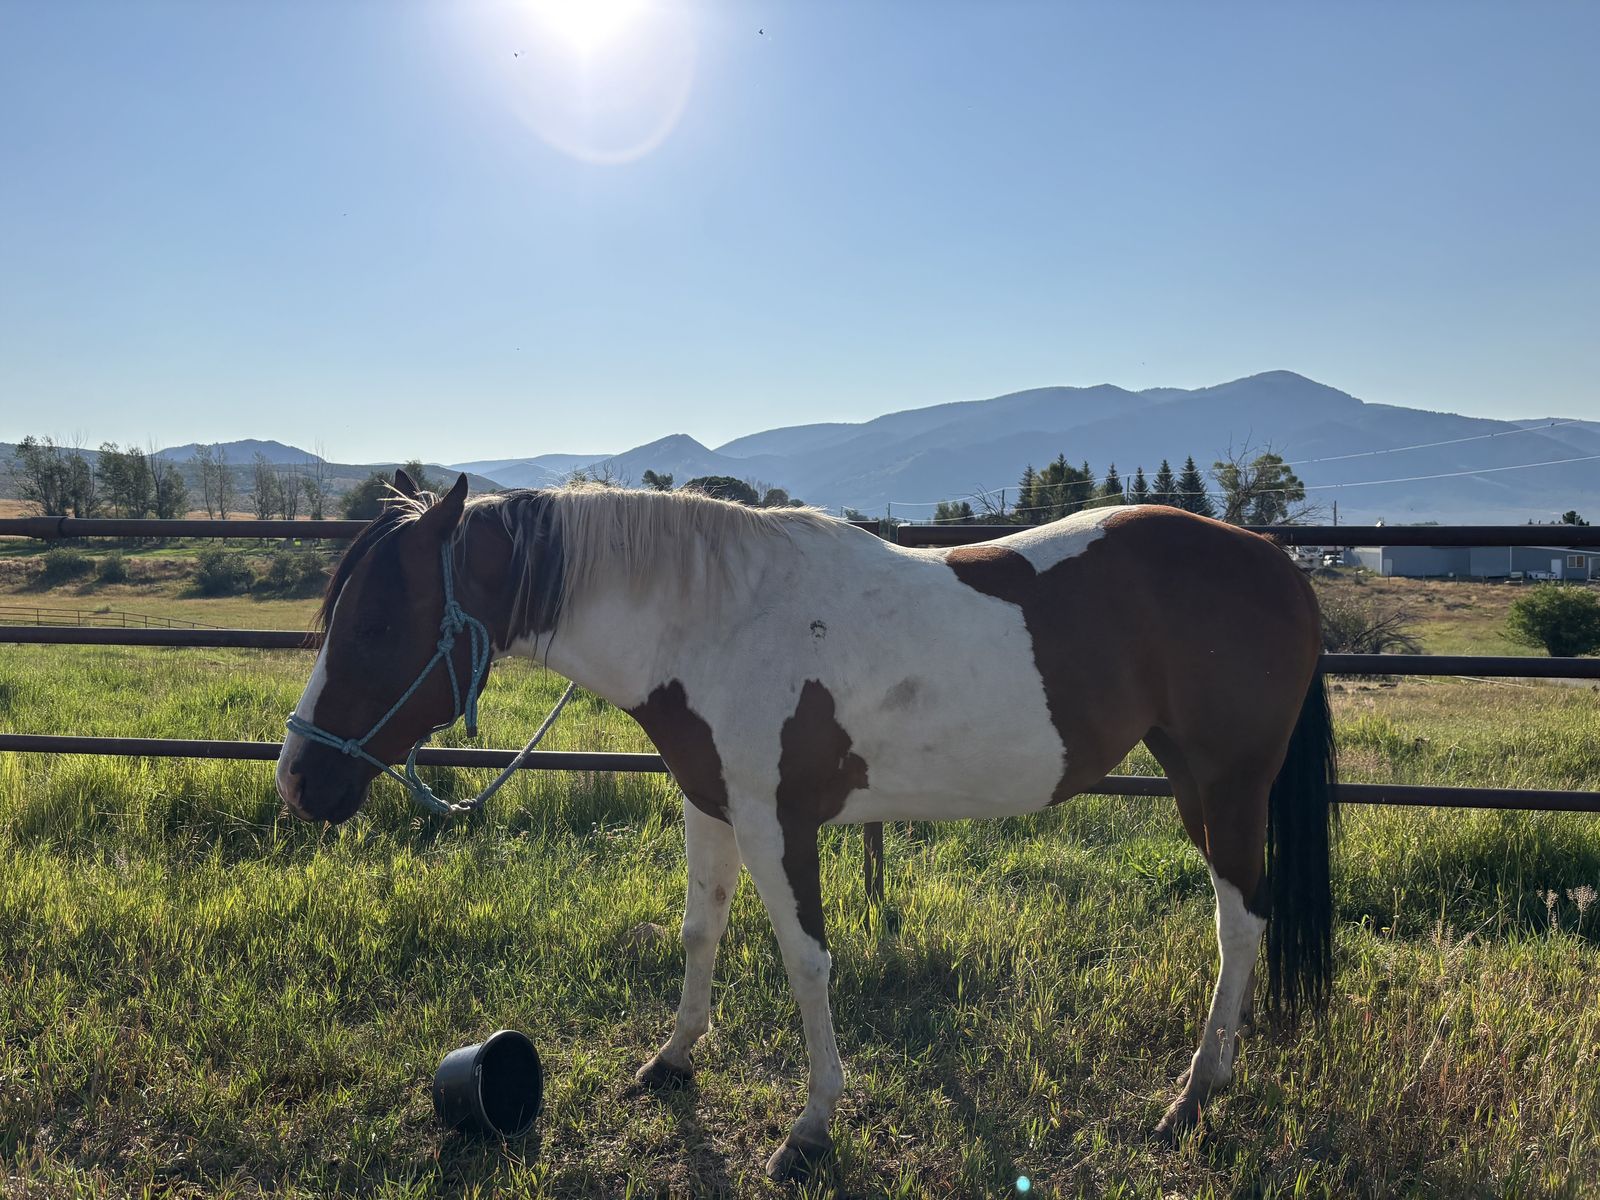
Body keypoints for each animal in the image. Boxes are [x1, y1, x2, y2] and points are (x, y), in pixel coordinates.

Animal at [276, 470, 1336, 1180]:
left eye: (375, 625)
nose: (298, 781)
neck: (715, 621)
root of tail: (1273, 562)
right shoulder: (711, 805)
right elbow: (700, 932)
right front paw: (672, 1060)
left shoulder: (776, 821)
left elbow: (806, 962)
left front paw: (812, 1127)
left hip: (1223, 785)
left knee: (1240, 924)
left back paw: (1192, 1095)